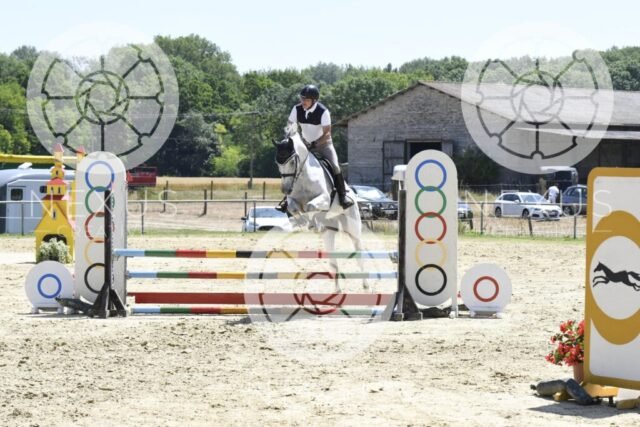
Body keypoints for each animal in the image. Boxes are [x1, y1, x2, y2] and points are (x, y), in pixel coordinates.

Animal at [272, 127, 368, 292]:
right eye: (278, 163)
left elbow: (310, 206)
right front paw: (304, 222)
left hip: (353, 228)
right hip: (329, 234)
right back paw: (337, 290)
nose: (285, 189)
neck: (303, 177)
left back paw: (365, 284)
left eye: (292, 162)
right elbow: (294, 208)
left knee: (359, 252)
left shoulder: (324, 198)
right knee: (333, 262)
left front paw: (312, 223)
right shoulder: (292, 200)